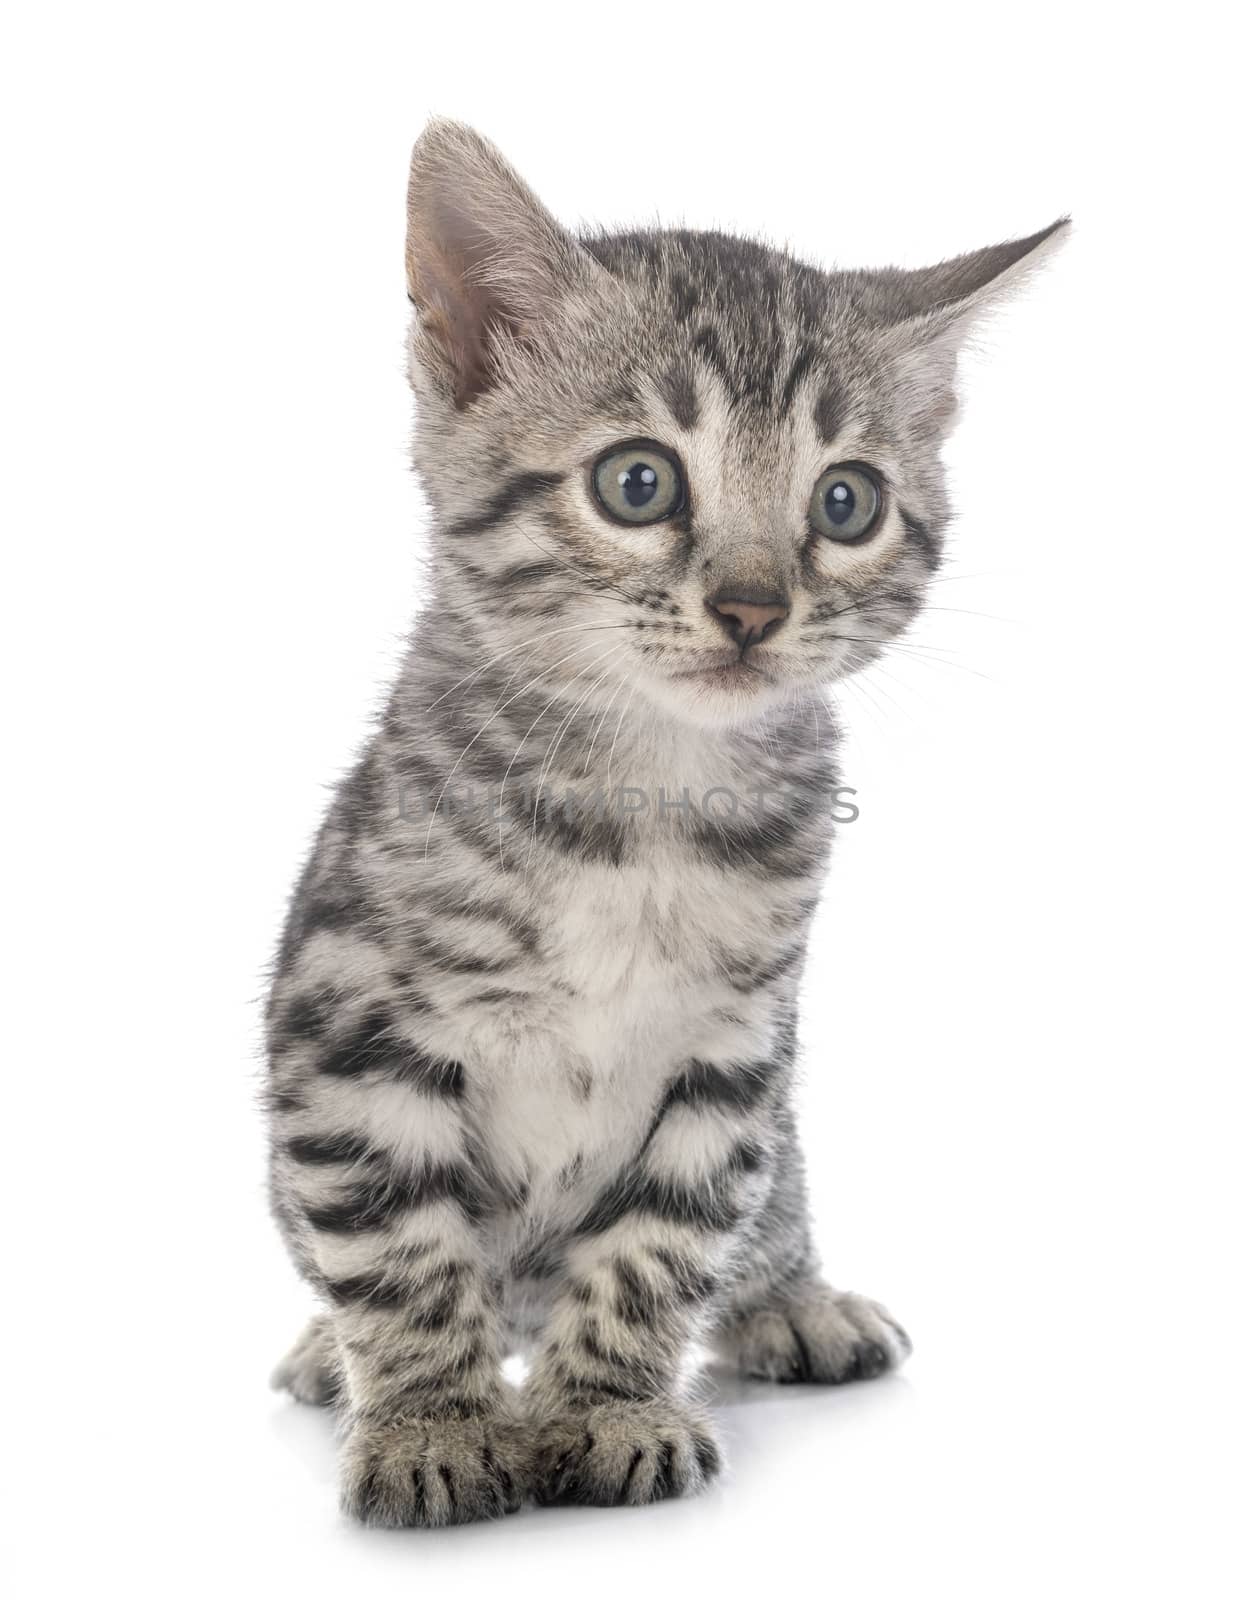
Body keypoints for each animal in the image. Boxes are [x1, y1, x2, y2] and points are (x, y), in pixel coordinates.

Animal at [263, 121, 1061, 1523]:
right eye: (637, 483)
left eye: (845, 502)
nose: (750, 607)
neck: (643, 802)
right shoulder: (345, 1027)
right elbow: (395, 1244)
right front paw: (428, 1422)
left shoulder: (735, 1047)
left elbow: (664, 1235)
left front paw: (606, 1406)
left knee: (766, 1216)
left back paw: (794, 1301)